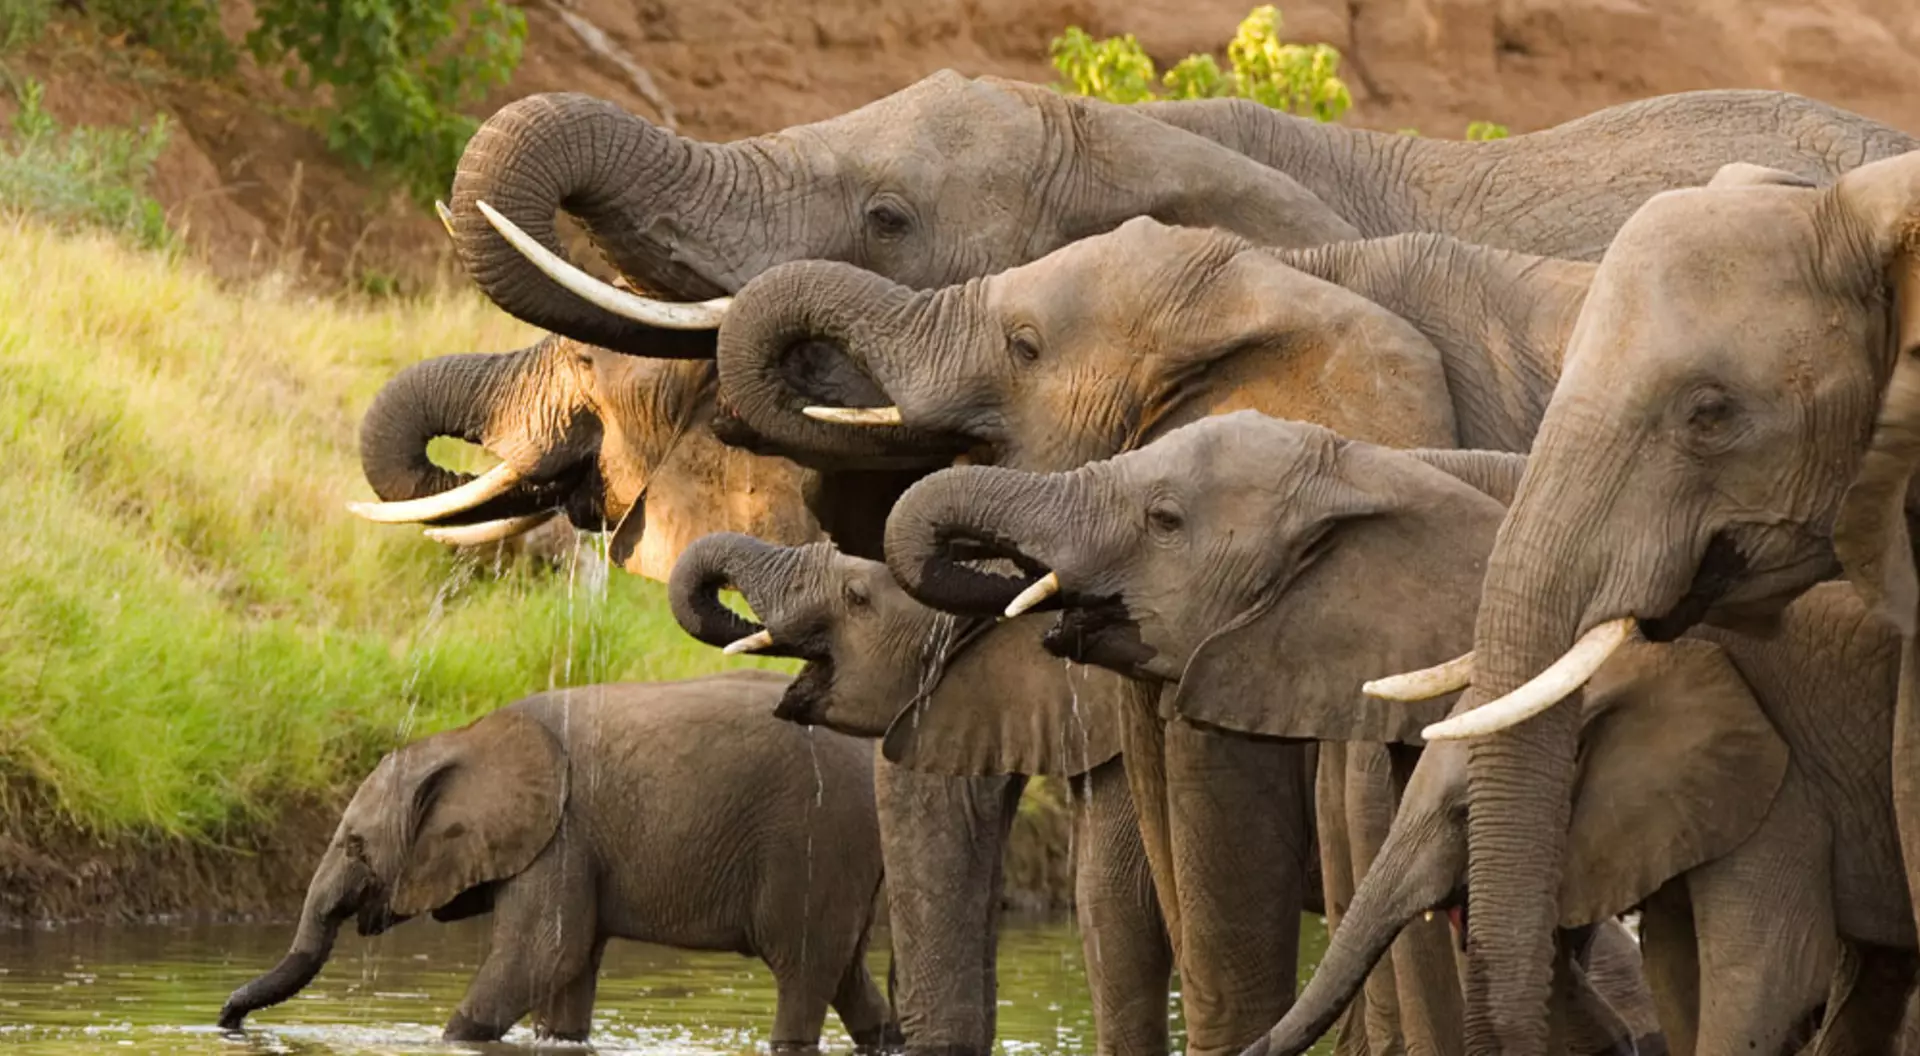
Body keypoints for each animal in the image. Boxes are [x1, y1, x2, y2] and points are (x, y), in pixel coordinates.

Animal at [217, 671, 900, 1048]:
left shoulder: (561, 837)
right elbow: (567, 973)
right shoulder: (573, 846)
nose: (226, 1019)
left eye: (355, 845)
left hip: (816, 839)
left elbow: (543, 955)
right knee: (847, 975)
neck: (468, 737)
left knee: (803, 971)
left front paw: (447, 1039)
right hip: (848, 854)